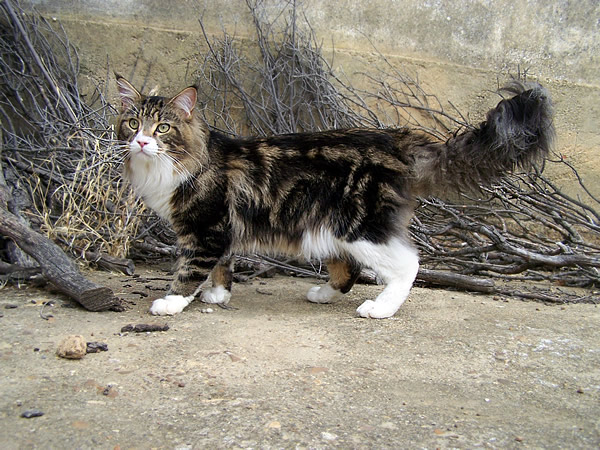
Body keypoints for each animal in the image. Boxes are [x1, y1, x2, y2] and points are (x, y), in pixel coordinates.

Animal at [113, 75, 552, 318]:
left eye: (163, 128)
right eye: (132, 123)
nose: (141, 141)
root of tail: (396, 140)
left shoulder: (205, 229)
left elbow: (189, 269)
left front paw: (172, 302)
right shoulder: (222, 230)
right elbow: (222, 266)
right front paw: (218, 295)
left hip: (357, 227)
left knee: (408, 264)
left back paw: (381, 309)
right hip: (330, 229)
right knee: (348, 272)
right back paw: (324, 293)